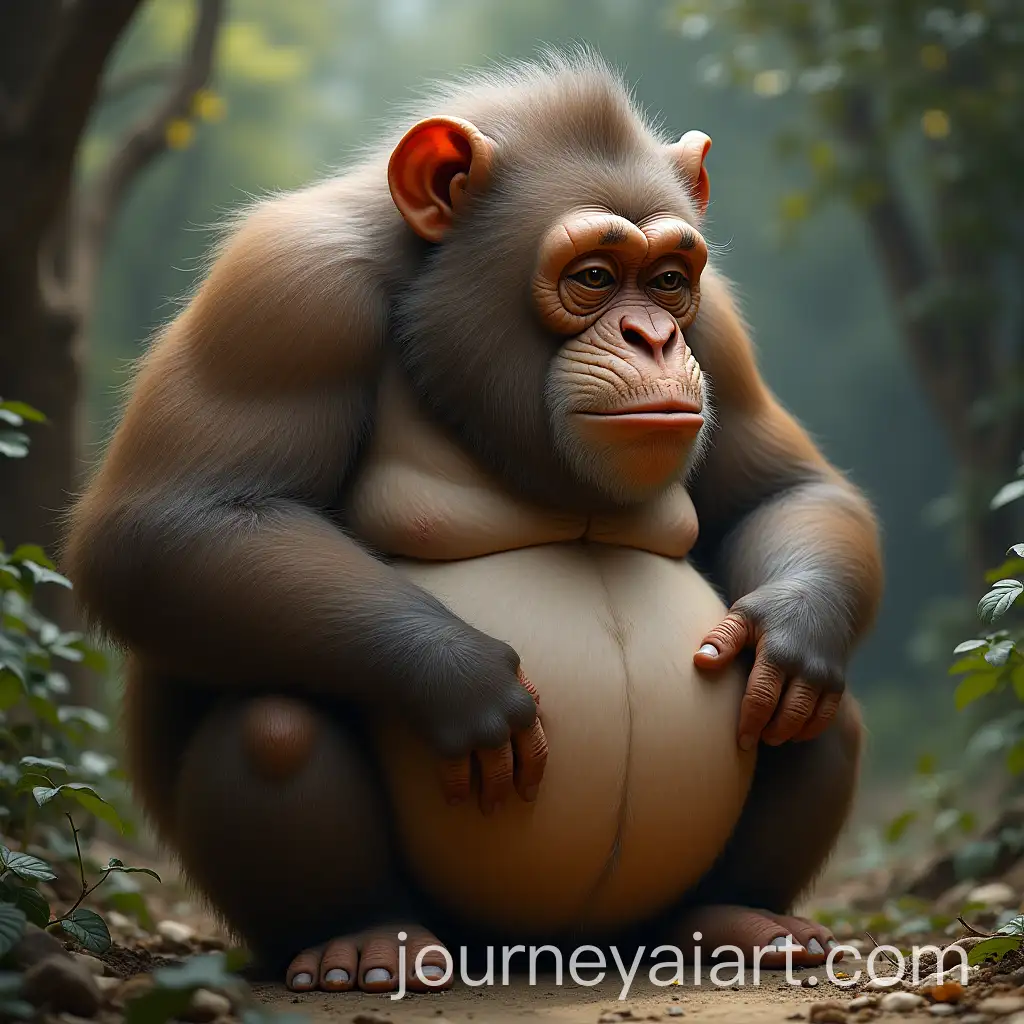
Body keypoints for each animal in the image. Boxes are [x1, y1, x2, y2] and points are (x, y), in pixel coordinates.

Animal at [65, 52, 882, 994]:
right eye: (594, 275)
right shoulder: (284, 294)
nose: (652, 337)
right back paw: (364, 939)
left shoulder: (719, 326)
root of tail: (559, 952)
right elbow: (169, 524)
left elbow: (782, 492)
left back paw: (736, 912)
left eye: (669, 281)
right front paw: (462, 677)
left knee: (818, 709)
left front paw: (788, 630)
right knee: (274, 729)